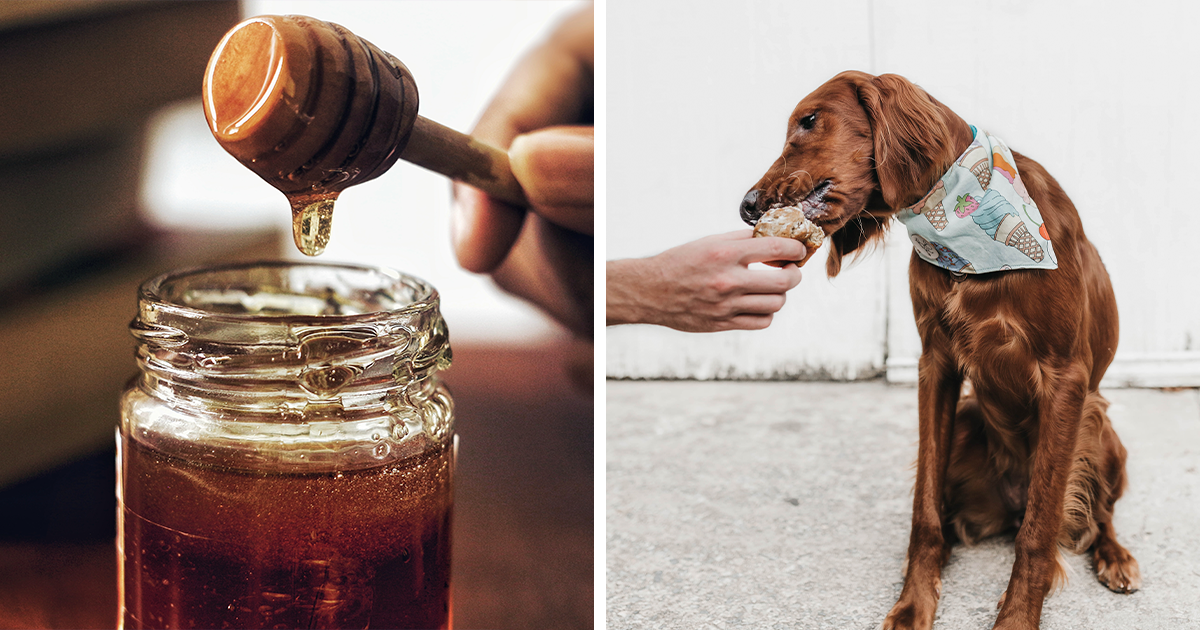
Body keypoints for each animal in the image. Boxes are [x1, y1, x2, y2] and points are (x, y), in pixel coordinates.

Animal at [739, 71, 1142, 624]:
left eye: (810, 120)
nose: (746, 206)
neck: (959, 226)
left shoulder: (1066, 377)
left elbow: (1040, 530)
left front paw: (1017, 617)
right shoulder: (937, 364)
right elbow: (925, 509)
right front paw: (913, 604)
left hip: (1100, 428)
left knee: (1095, 516)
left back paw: (1116, 557)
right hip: (971, 422)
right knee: (957, 518)